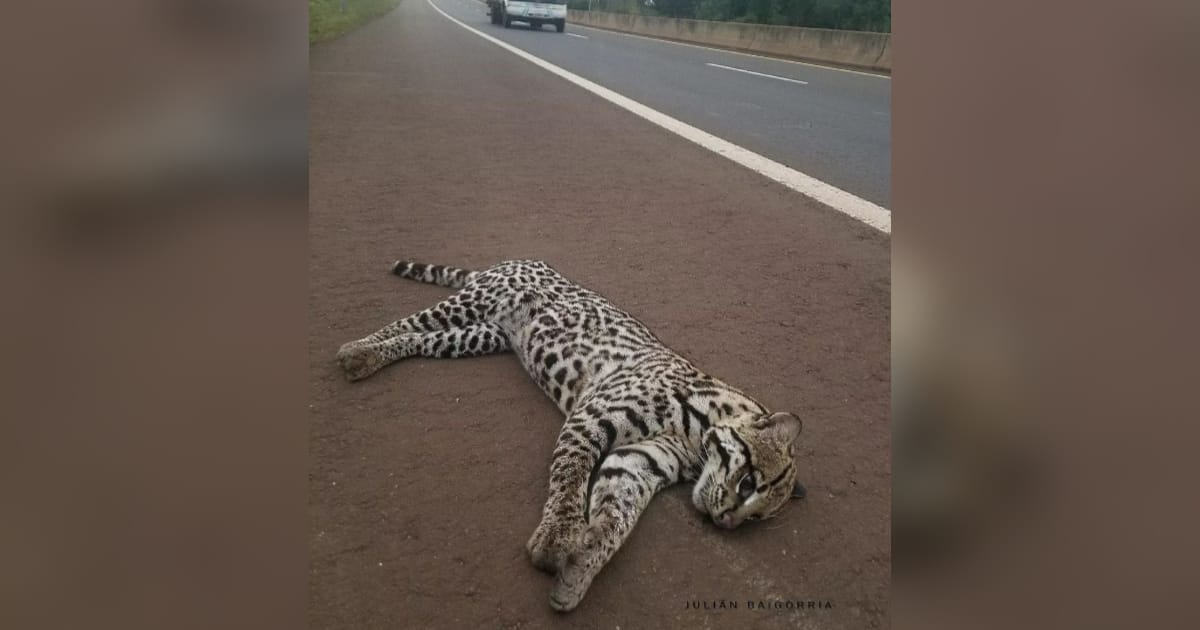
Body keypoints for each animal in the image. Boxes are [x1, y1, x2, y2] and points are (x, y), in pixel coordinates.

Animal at [336, 258, 806, 607]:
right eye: (749, 482)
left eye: (756, 518)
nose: (726, 523)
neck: (697, 435)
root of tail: (518, 258)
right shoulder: (589, 420)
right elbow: (569, 483)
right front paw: (558, 538)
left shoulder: (637, 461)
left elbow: (616, 516)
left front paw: (582, 565)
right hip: (470, 303)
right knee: (405, 323)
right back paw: (358, 351)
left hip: (480, 335)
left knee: (421, 340)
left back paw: (369, 357)